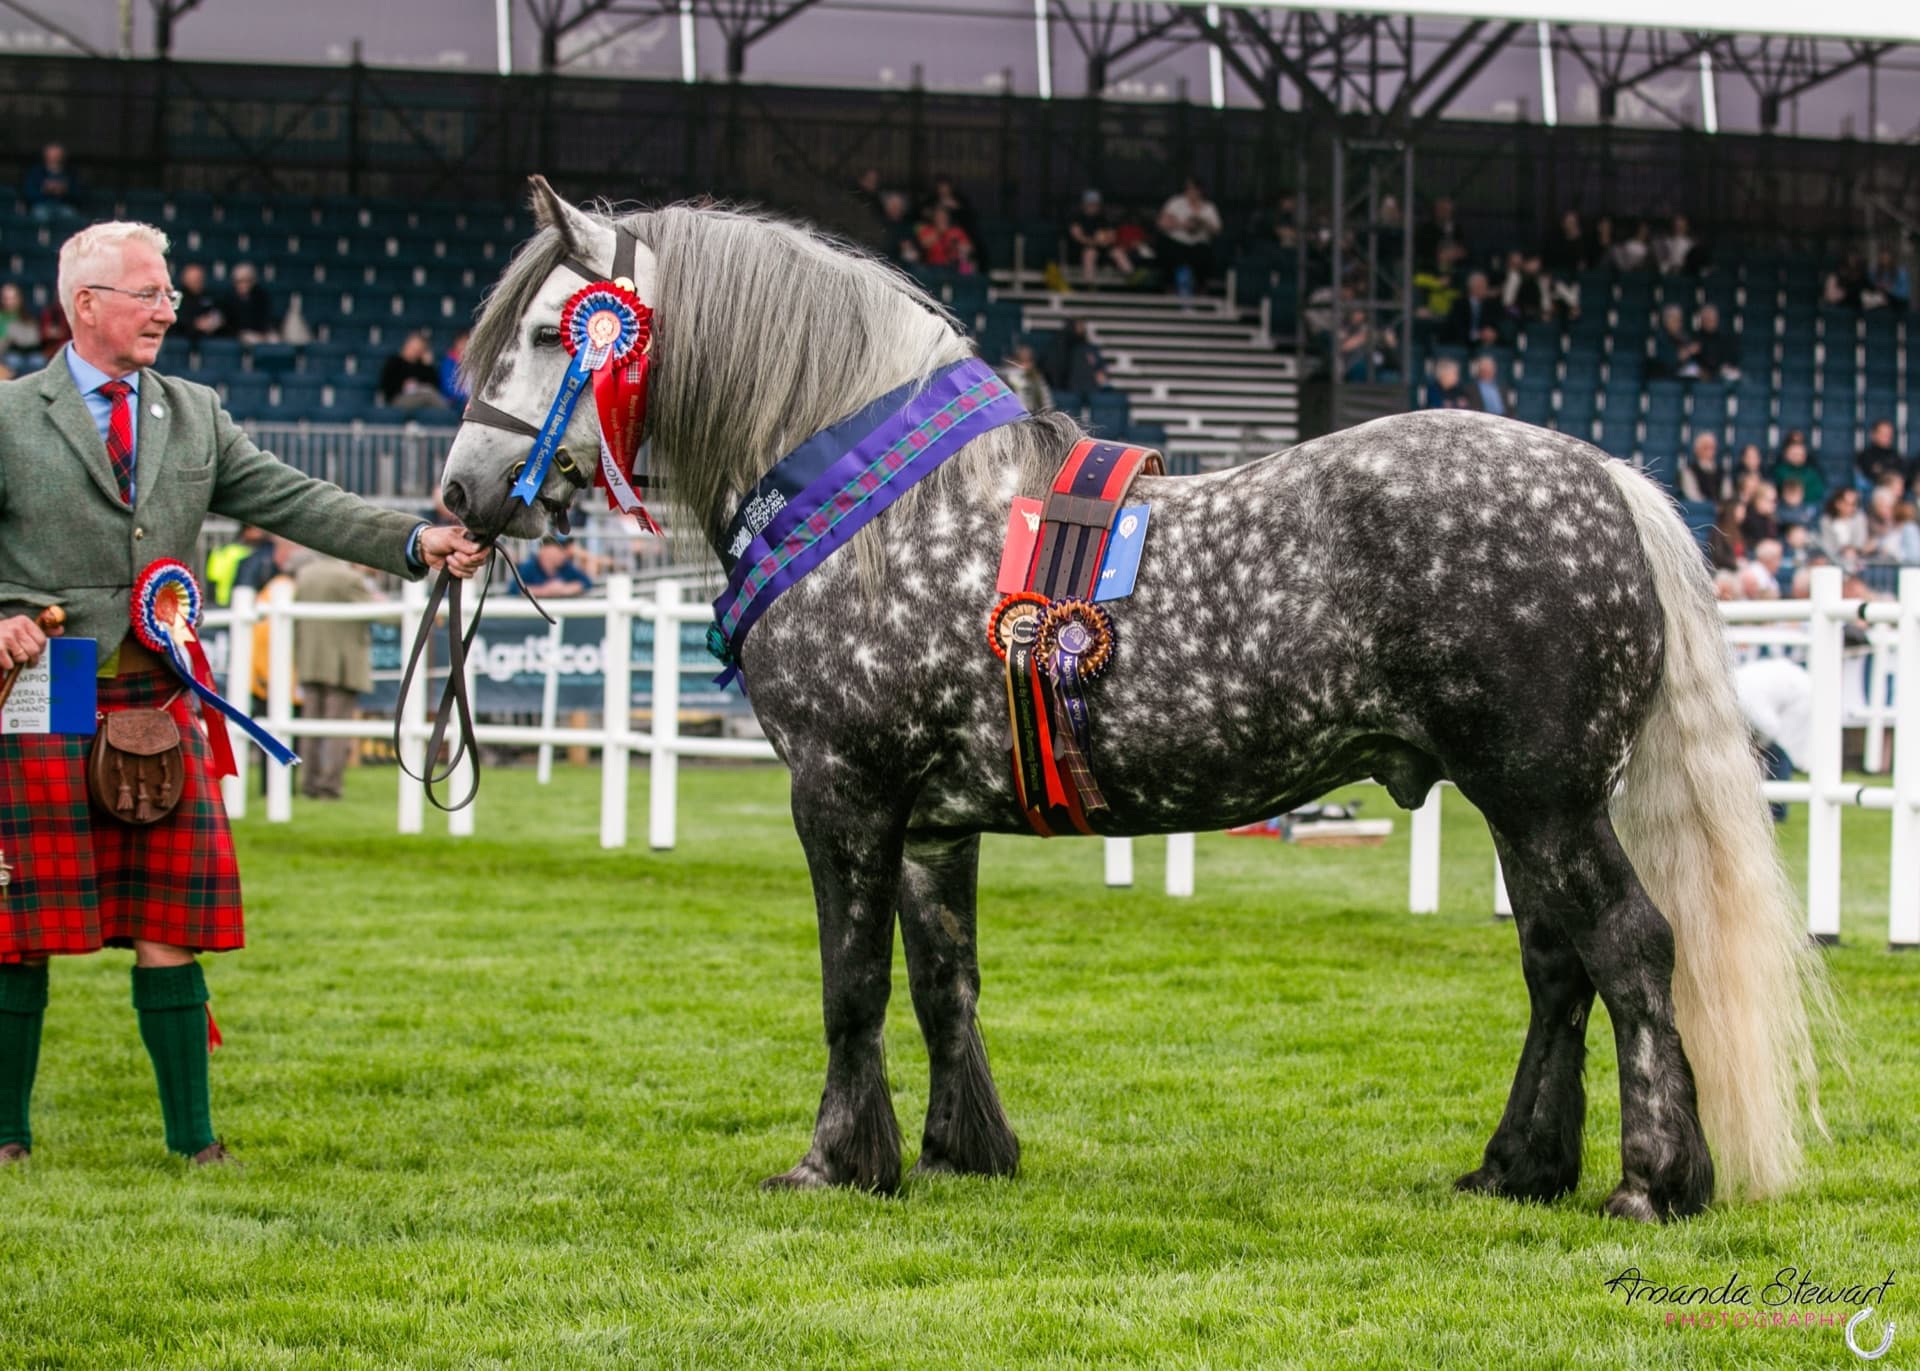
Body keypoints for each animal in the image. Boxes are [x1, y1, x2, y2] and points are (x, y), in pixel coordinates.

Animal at [436, 177, 1830, 1221]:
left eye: (558, 331)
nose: (461, 495)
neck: (880, 509)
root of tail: (1609, 479)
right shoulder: (932, 822)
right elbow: (944, 980)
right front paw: (960, 1152)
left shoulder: (841, 794)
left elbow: (853, 985)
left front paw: (835, 1163)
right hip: (1519, 805)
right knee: (1555, 965)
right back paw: (1514, 1171)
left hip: (1543, 796)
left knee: (1629, 949)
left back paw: (1652, 1184)